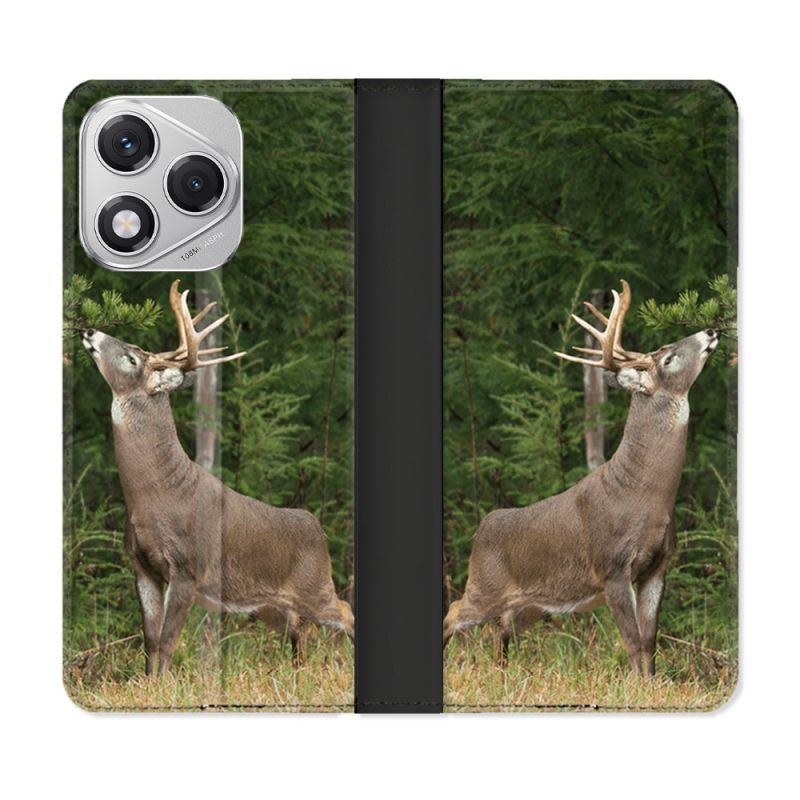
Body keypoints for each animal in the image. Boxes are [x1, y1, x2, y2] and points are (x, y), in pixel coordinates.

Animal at [82, 280, 354, 676]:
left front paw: (162, 686)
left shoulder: (187, 567)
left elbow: (168, 641)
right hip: (267, 603)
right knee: (300, 629)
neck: (155, 494)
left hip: (315, 585)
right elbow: (150, 641)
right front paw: (147, 684)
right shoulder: (142, 567)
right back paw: (296, 672)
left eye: (132, 358)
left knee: (344, 612)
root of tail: (318, 527)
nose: (89, 330)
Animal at [443, 280, 719, 676]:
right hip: (484, 585)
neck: (645, 494)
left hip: (530, 604)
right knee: (453, 612)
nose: (710, 331)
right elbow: (632, 641)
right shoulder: (612, 566)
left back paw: (503, 672)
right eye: (667, 358)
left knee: (501, 629)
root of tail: (482, 528)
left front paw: (652, 683)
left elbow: (650, 641)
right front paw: (637, 685)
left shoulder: (658, 565)